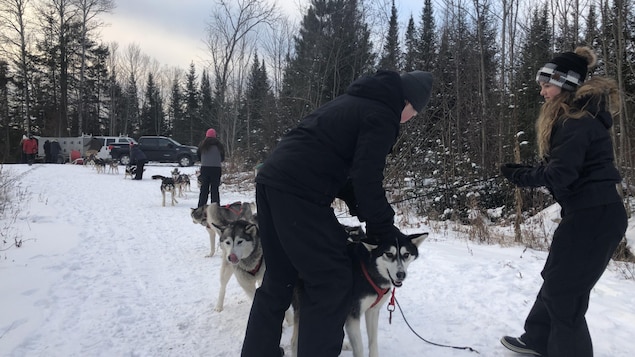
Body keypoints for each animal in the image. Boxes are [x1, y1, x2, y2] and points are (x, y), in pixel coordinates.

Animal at [292, 225, 430, 356]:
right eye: (389, 254)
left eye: (406, 255)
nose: (401, 274)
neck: (368, 271)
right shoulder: (353, 315)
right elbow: (359, 348)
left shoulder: (372, 311)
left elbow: (373, 342)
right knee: (294, 341)